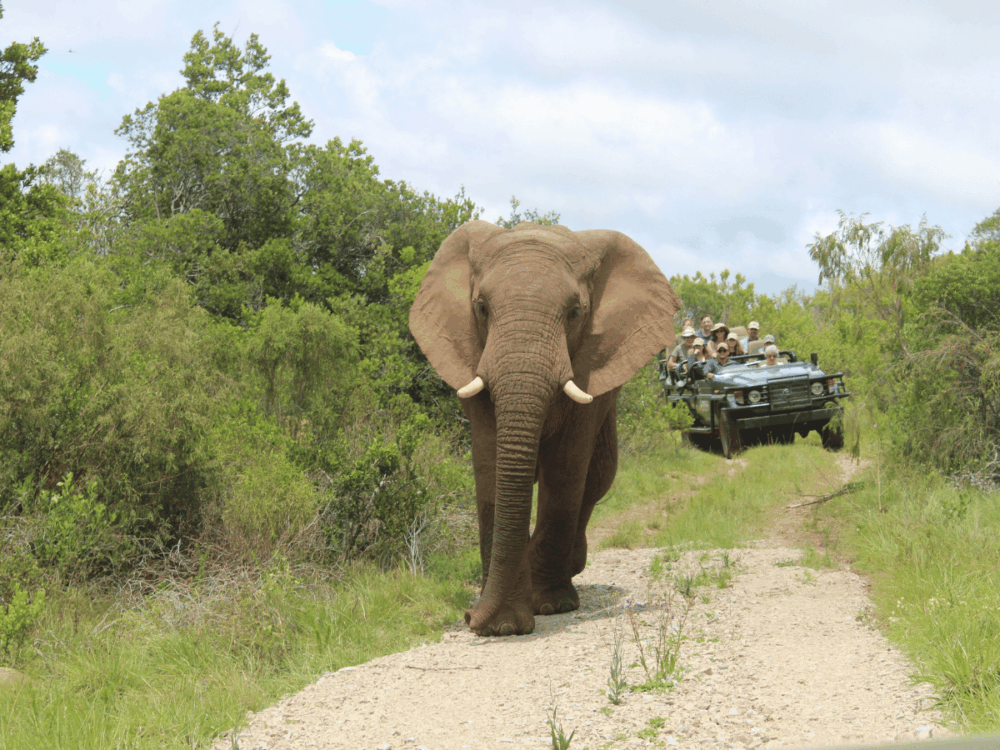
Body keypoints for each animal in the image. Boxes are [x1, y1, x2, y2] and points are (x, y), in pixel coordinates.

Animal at [408, 220, 679, 636]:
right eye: (481, 308)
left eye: (574, 313)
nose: (470, 617)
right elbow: (490, 465)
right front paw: (503, 624)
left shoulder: (589, 366)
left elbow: (566, 469)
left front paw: (549, 606)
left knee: (597, 478)